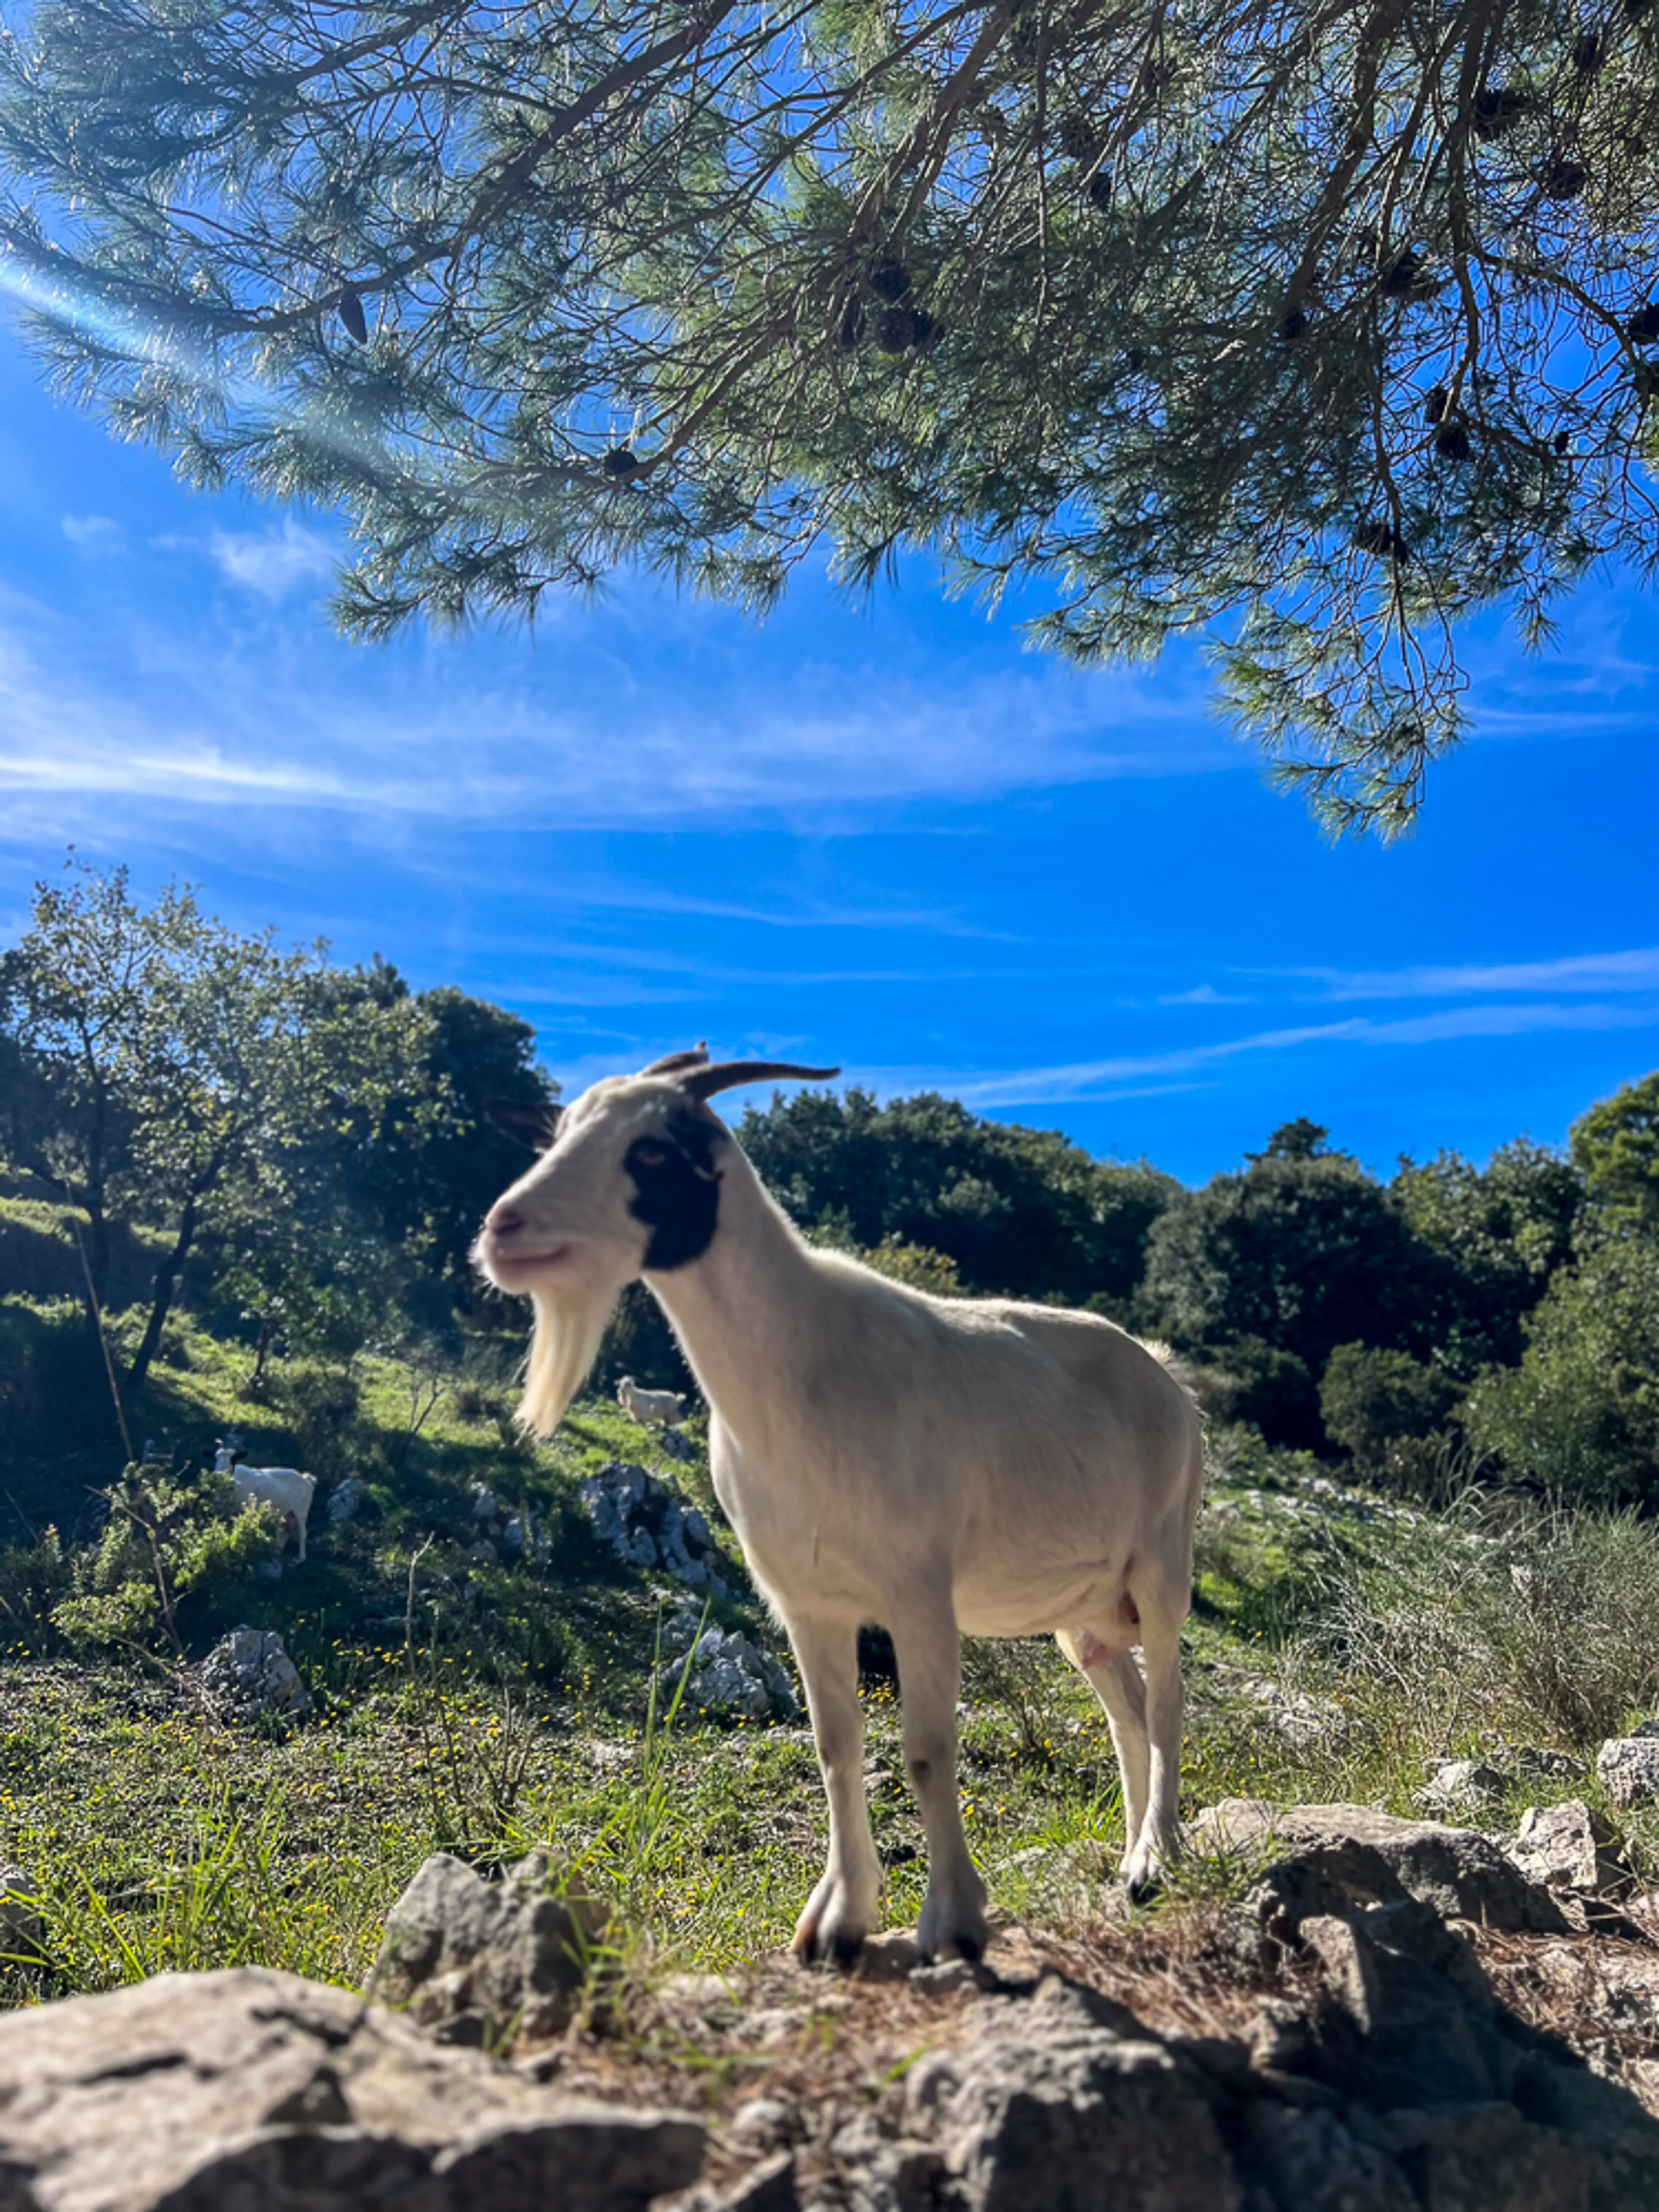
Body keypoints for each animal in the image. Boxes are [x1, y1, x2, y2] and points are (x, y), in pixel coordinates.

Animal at [214, 1447, 317, 1563]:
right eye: (216, 1459)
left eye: (234, 1460)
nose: (220, 1474)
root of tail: (306, 1479)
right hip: (285, 1513)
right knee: (283, 1532)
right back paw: (276, 1555)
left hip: (301, 1511)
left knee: (302, 1534)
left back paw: (300, 1559)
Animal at [616, 1374, 688, 1428]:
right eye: (621, 1384)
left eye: (628, 1384)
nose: (620, 1391)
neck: (635, 1396)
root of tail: (676, 1399)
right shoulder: (635, 1415)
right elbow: (637, 1423)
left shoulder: (644, 1414)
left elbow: (644, 1423)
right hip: (666, 1415)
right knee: (667, 1422)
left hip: (672, 1413)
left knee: (677, 1420)